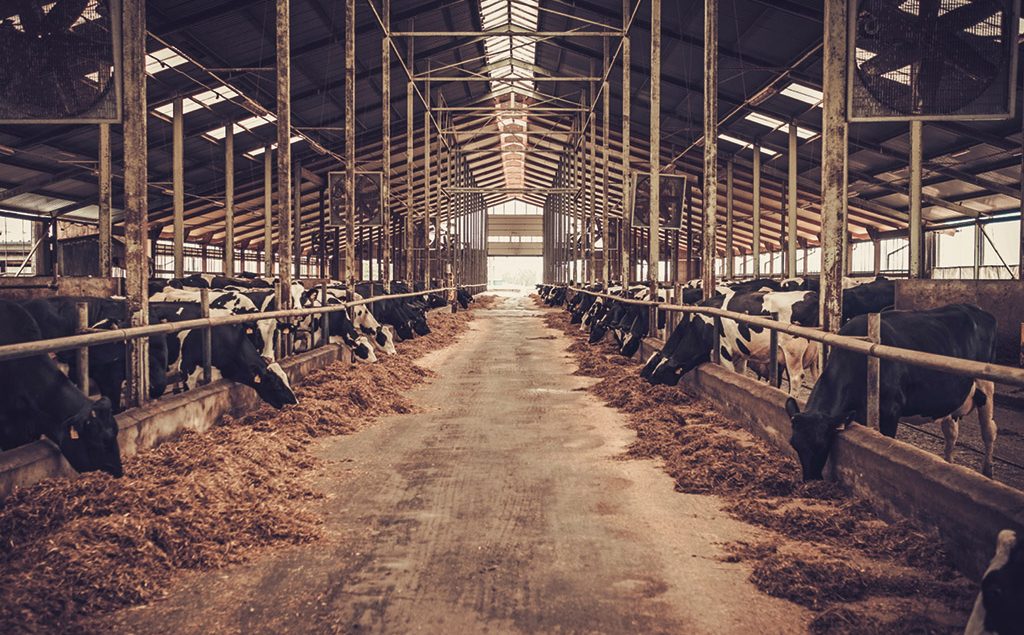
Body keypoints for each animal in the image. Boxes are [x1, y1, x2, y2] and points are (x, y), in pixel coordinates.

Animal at [782, 303, 999, 481]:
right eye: (794, 444)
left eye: (821, 444)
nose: (810, 480)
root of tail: (979, 311)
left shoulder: (890, 411)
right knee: (951, 432)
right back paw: (949, 462)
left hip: (986, 385)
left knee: (989, 430)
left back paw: (988, 472)